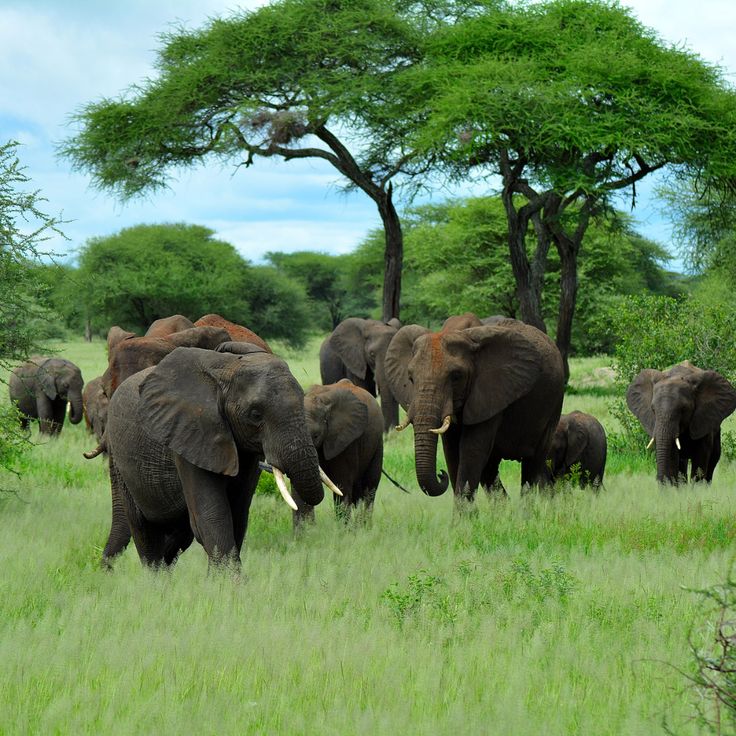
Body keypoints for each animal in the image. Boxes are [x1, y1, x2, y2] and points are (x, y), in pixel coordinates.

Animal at [101, 346, 333, 570]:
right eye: (255, 414)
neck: (226, 370)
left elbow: (237, 513)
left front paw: (216, 579)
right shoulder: (190, 433)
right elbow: (213, 515)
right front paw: (229, 582)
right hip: (121, 464)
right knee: (144, 531)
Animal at [294, 379, 384, 526]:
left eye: (316, 436)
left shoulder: (346, 441)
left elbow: (342, 485)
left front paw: (344, 529)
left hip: (377, 442)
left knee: (370, 488)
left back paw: (364, 526)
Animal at [385, 314, 565, 504]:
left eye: (456, 376)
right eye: (411, 378)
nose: (441, 474)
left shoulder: (492, 392)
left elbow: (471, 450)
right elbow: (451, 450)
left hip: (554, 404)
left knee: (533, 463)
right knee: (491, 468)